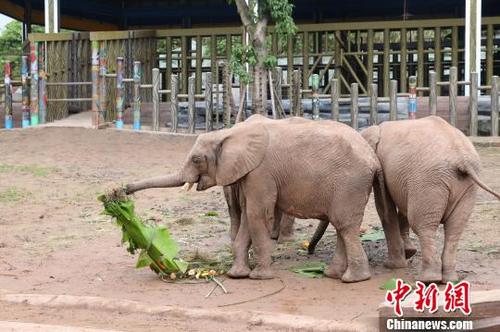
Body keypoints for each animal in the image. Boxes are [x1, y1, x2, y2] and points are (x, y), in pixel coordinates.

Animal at [124, 115, 386, 282]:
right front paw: (236, 275)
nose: (124, 190)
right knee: (344, 227)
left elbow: (256, 213)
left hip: (350, 183)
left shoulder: (261, 172)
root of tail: (373, 158)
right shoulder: (249, 175)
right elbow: (249, 217)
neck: (229, 133)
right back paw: (334, 275)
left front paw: (260, 277)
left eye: (197, 159)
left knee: (344, 225)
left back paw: (352, 279)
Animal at [362, 116, 500, 282]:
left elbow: (385, 209)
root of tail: (462, 160)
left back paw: (429, 279)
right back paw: (449, 279)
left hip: (429, 181)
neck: (376, 128)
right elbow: (400, 208)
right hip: (462, 186)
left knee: (422, 225)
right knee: (455, 227)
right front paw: (408, 253)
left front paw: (393, 266)